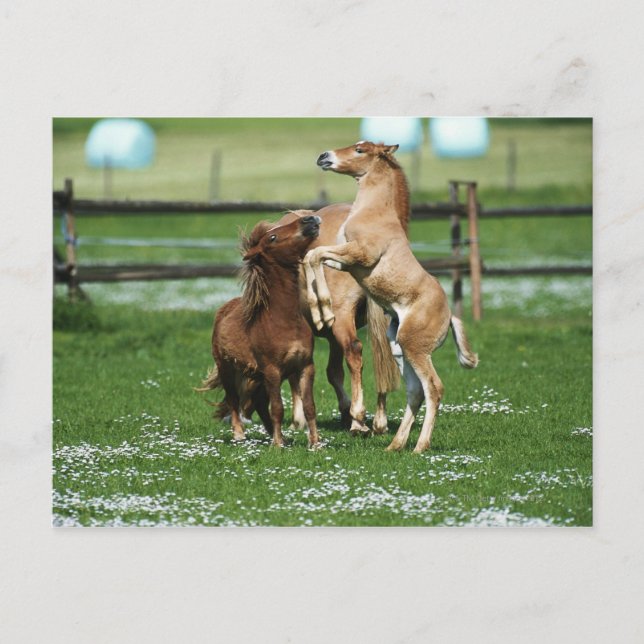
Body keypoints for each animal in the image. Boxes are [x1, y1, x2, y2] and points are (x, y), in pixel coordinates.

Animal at [197, 213, 322, 449]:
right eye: (272, 237)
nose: (310, 219)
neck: (285, 321)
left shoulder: (305, 367)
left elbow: (309, 407)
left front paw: (315, 444)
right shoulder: (272, 370)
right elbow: (278, 408)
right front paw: (277, 446)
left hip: (258, 377)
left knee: (259, 402)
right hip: (228, 369)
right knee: (234, 400)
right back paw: (240, 435)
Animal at [271, 204, 402, 436]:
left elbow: (297, 375)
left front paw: (298, 420)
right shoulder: (332, 338)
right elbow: (334, 373)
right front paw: (344, 412)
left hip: (343, 318)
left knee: (354, 351)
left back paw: (358, 420)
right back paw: (379, 422)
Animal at [304, 141, 479, 453]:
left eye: (360, 150)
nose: (324, 156)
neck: (374, 212)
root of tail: (449, 316)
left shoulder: (360, 255)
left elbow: (316, 254)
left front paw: (323, 309)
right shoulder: (345, 261)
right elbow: (313, 256)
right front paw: (319, 309)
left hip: (415, 347)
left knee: (433, 388)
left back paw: (419, 446)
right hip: (399, 347)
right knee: (415, 392)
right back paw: (395, 445)